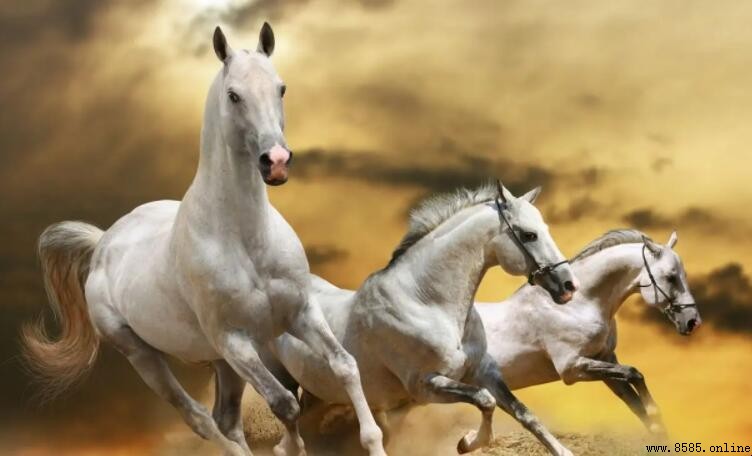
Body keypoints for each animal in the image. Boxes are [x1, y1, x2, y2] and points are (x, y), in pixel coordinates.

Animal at [21, 24, 385, 456]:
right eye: (233, 95)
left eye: (281, 88)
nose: (276, 162)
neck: (247, 243)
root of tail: (104, 242)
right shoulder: (234, 341)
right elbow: (285, 403)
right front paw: (290, 448)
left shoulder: (300, 313)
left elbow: (344, 366)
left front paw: (373, 444)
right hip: (145, 356)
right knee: (200, 419)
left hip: (221, 363)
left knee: (225, 419)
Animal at [266, 182, 580, 455]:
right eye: (529, 235)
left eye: (544, 229)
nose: (568, 285)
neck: (427, 303)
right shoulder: (426, 386)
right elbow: (485, 400)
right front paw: (467, 442)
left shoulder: (483, 370)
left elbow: (523, 412)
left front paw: (562, 451)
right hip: (283, 378)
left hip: (317, 391)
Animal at [477, 229, 700, 435]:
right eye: (671, 277)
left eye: (685, 275)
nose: (692, 321)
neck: (577, 305)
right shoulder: (572, 368)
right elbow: (634, 374)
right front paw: (655, 412)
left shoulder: (605, 360)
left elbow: (637, 406)